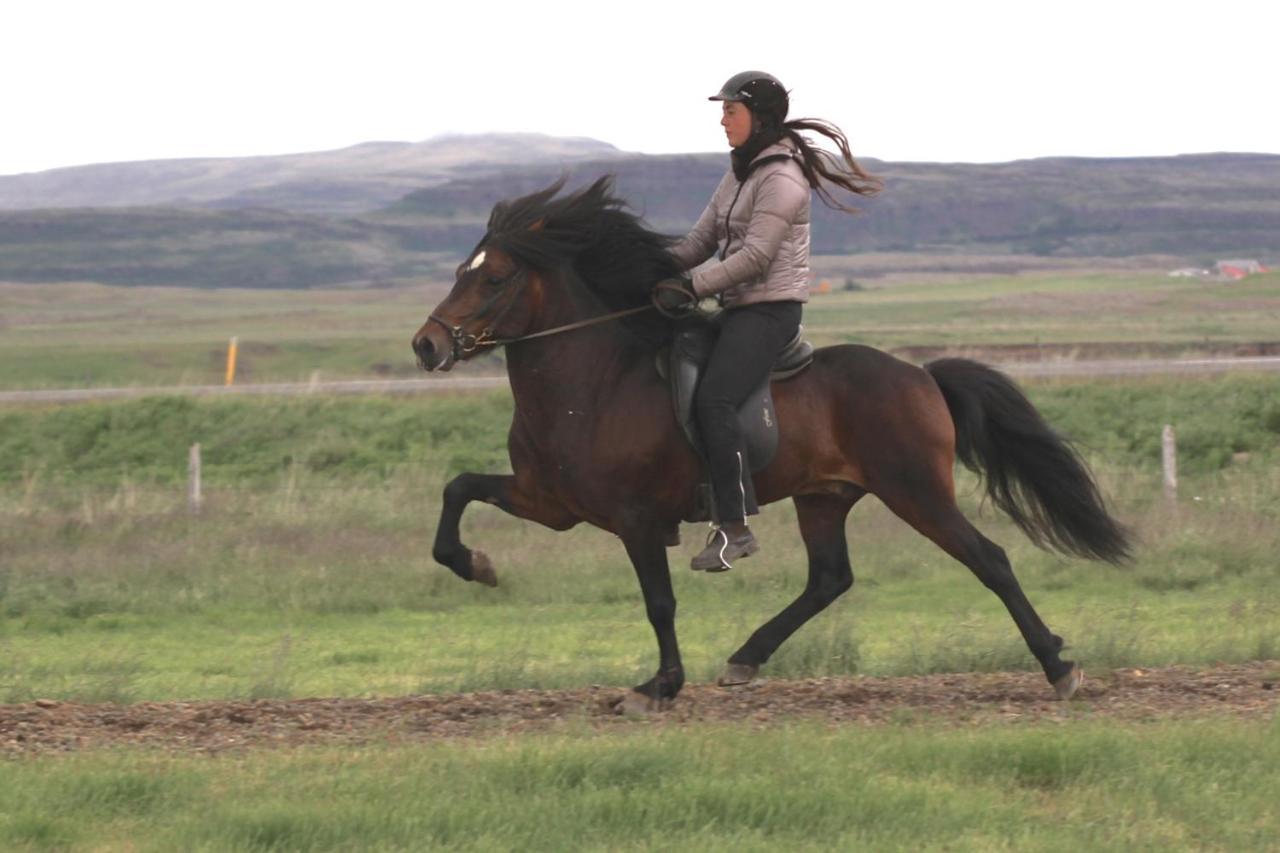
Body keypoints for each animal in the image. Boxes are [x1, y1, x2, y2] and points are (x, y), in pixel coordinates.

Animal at [409, 174, 1131, 712]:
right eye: (461, 269)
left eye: (494, 279)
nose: (426, 345)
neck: (593, 381)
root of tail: (921, 375)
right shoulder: (550, 501)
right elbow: (455, 491)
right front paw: (475, 564)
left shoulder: (635, 518)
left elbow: (659, 602)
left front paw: (658, 687)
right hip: (825, 497)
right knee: (830, 578)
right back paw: (744, 659)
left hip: (915, 491)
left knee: (990, 559)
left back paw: (1059, 666)